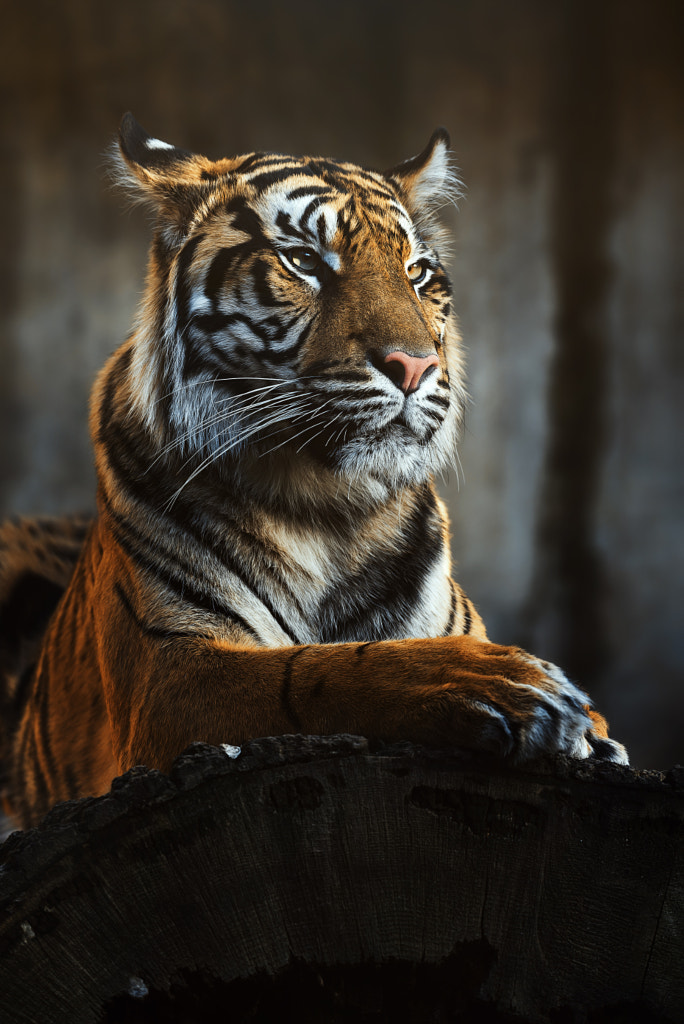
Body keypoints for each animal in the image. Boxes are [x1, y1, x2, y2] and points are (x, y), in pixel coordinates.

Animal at [0, 114, 630, 831]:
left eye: (417, 272)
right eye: (303, 261)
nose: (416, 366)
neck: (329, 507)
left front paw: (585, 730)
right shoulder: (169, 672)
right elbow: (316, 668)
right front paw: (508, 687)